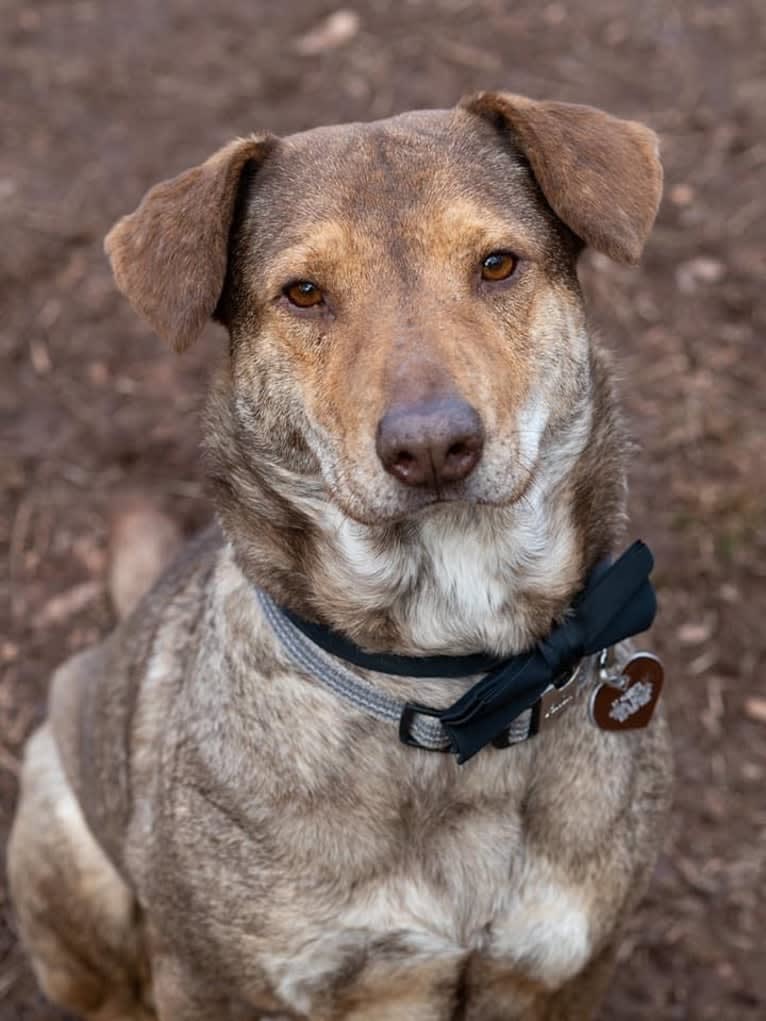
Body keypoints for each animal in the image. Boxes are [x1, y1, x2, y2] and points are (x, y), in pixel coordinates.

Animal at [9, 91, 674, 1016]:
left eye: (498, 264)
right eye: (304, 293)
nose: (432, 447)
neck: (454, 684)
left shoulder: (567, 967)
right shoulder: (213, 981)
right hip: (62, 849)